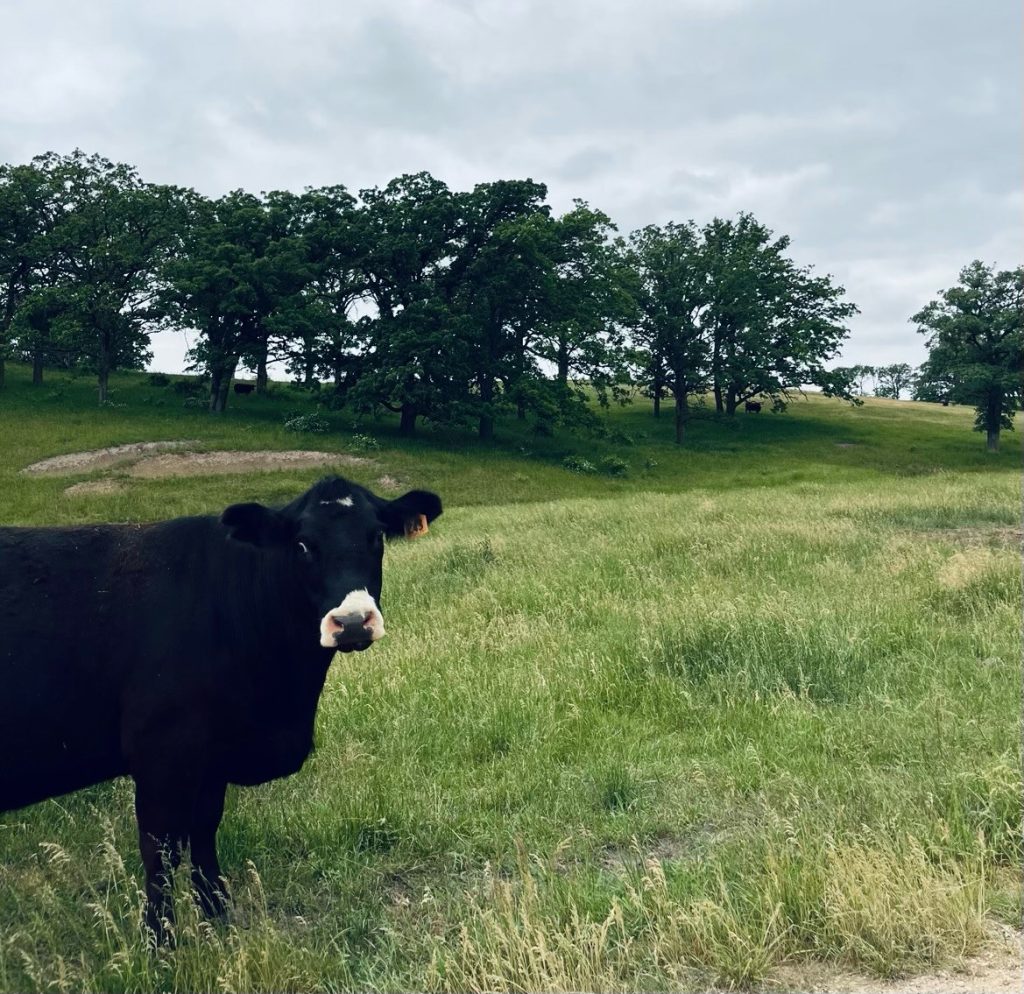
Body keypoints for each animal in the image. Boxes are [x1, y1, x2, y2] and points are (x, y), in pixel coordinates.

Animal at [0, 476, 441, 939]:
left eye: (376, 536)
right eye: (302, 544)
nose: (353, 622)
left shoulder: (210, 757)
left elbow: (204, 832)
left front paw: (217, 914)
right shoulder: (161, 755)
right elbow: (161, 852)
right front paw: (160, 939)